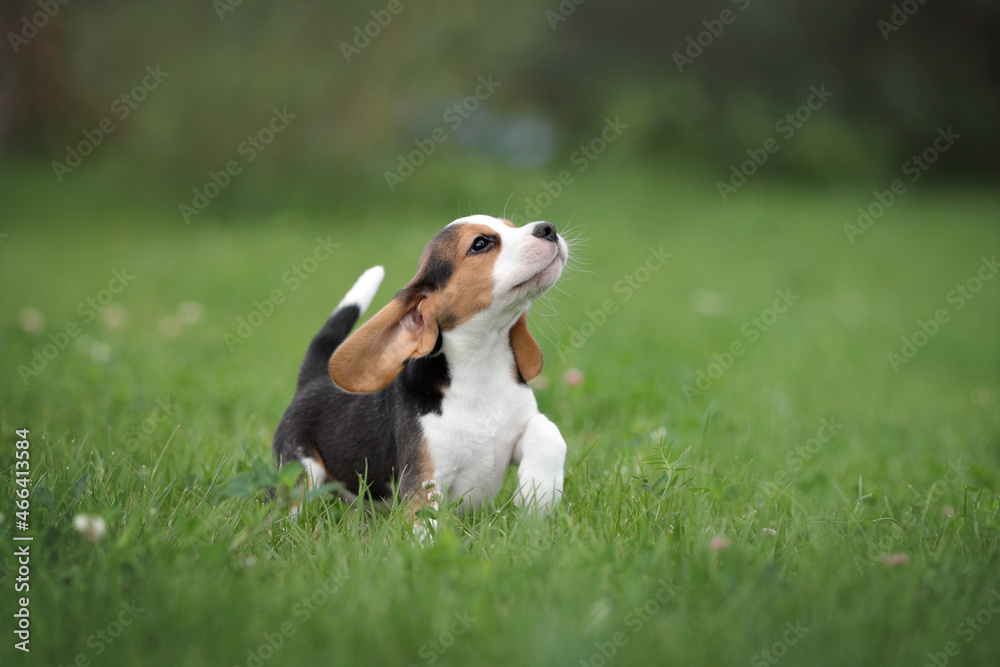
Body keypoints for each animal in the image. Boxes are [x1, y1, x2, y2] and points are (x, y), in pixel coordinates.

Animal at [274, 217, 572, 528]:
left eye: (511, 225)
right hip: (300, 471)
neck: (482, 368)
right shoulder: (424, 481)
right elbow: (424, 523)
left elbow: (549, 433)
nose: (548, 228)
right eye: (480, 244)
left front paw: (537, 496)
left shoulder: (518, 428)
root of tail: (310, 382)